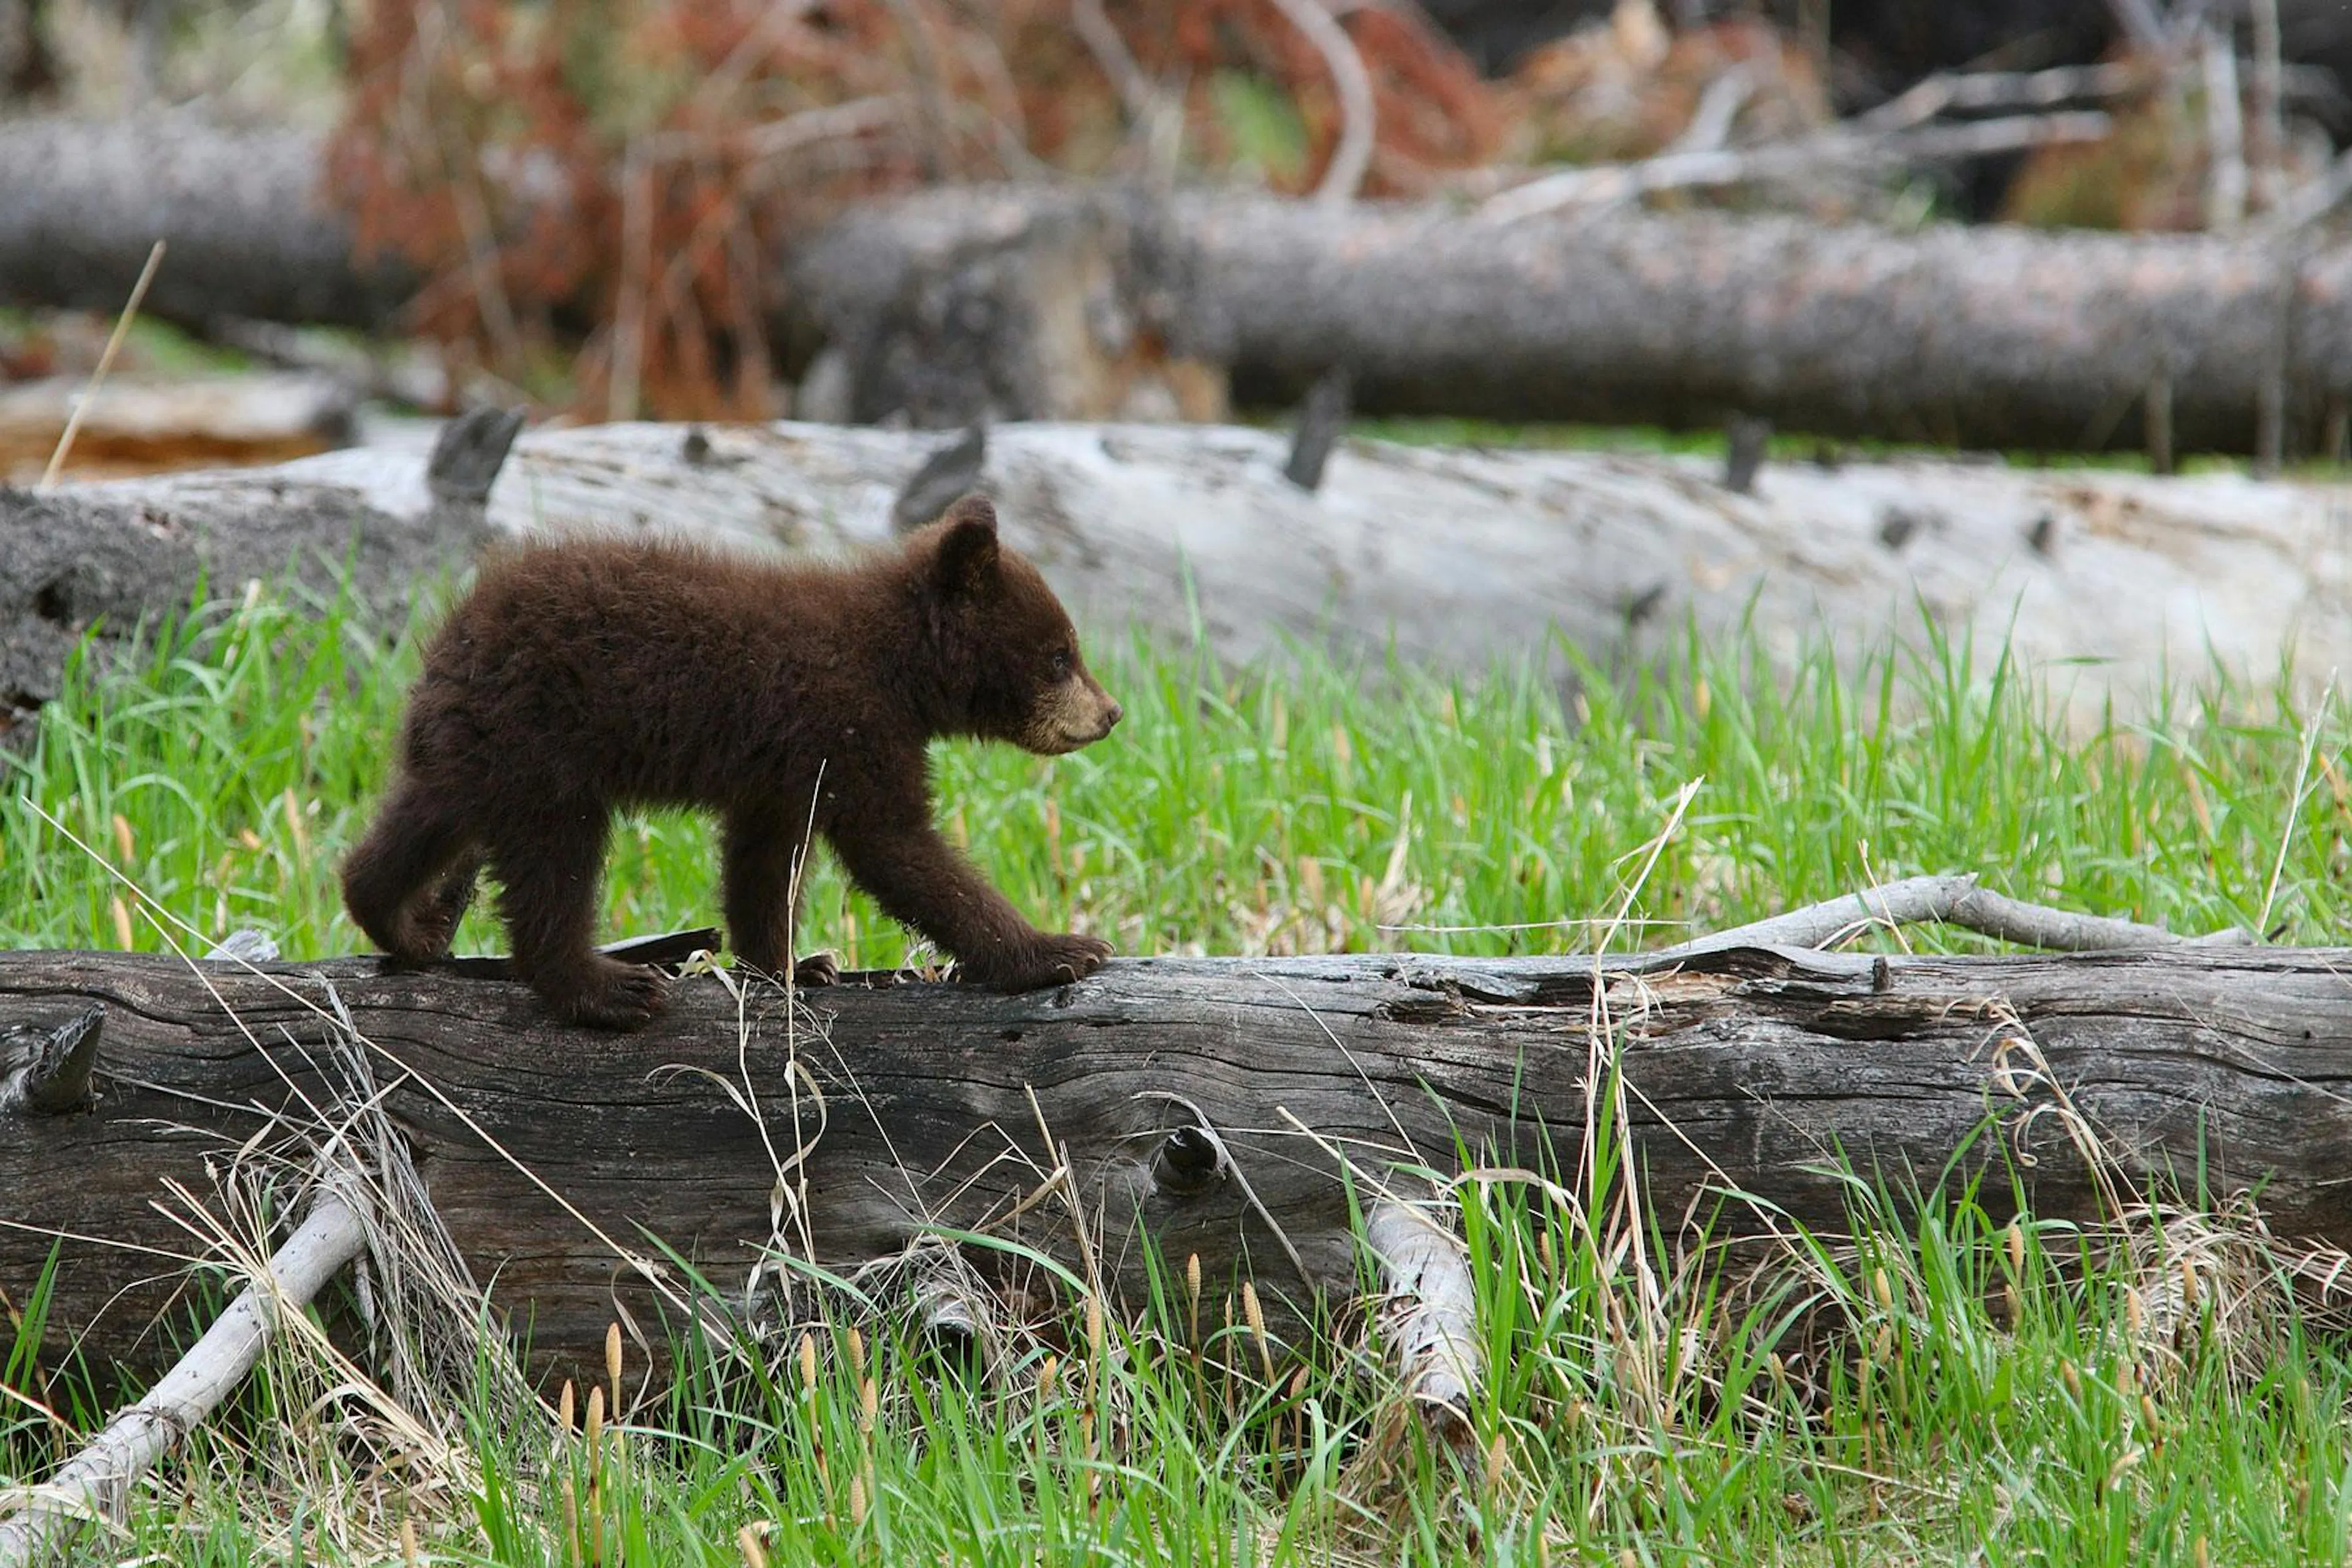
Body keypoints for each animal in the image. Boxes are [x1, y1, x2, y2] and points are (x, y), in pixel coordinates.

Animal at [340, 494, 1121, 1029]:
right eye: (1060, 655)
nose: (1111, 713)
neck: (896, 664)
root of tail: (457, 629)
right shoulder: (851, 728)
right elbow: (898, 847)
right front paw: (1060, 947)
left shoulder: (784, 772)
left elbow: (763, 864)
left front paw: (794, 963)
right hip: (547, 747)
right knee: (553, 868)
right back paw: (607, 988)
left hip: (478, 746)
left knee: (419, 820)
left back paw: (401, 923)